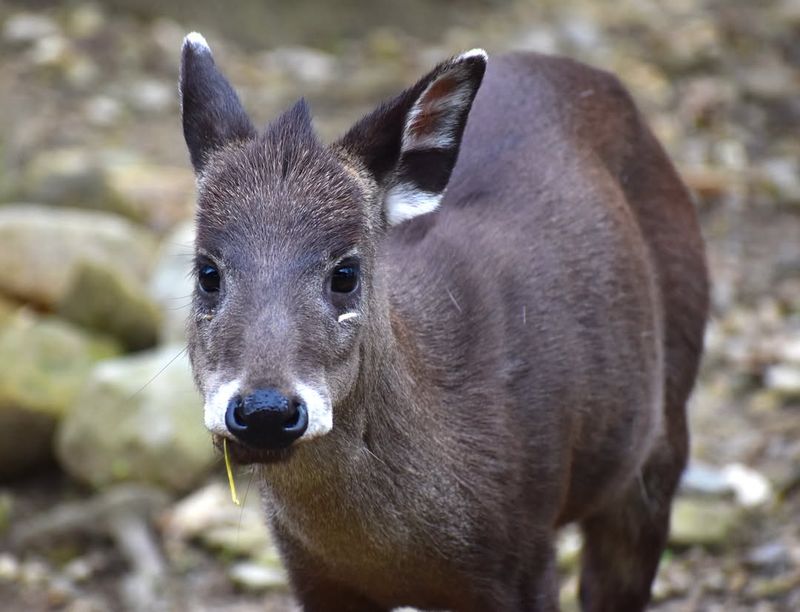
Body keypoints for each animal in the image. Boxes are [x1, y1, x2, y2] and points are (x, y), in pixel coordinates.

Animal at [180, 31, 708, 608]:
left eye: (345, 272)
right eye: (207, 271)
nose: (265, 411)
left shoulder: (524, 554)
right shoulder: (312, 572)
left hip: (662, 429)